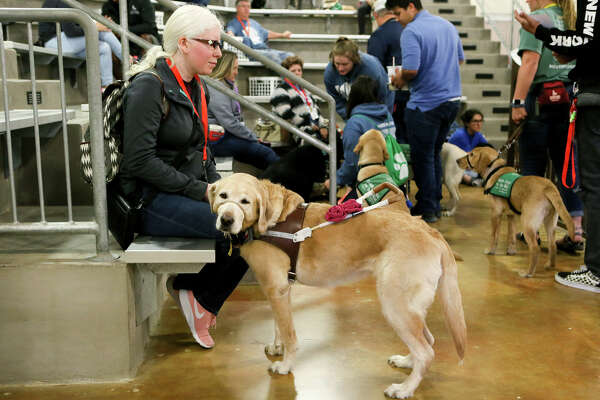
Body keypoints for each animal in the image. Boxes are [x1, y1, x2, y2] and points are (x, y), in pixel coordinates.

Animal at [209, 173, 466, 398]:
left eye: (245, 201)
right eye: (223, 196)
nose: (226, 220)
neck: (274, 221)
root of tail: (431, 232)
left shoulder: (276, 289)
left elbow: (290, 335)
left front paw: (285, 365)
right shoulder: (280, 290)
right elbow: (278, 325)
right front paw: (276, 347)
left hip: (395, 305)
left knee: (426, 351)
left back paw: (404, 389)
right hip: (409, 307)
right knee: (428, 341)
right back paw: (406, 362)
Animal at [458, 147, 576, 278]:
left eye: (471, 154)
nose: (457, 160)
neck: (495, 170)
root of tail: (548, 187)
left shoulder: (495, 213)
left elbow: (494, 236)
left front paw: (490, 250)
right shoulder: (511, 216)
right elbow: (511, 236)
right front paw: (511, 251)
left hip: (527, 223)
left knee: (535, 248)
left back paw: (528, 273)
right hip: (550, 223)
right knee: (552, 245)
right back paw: (550, 265)